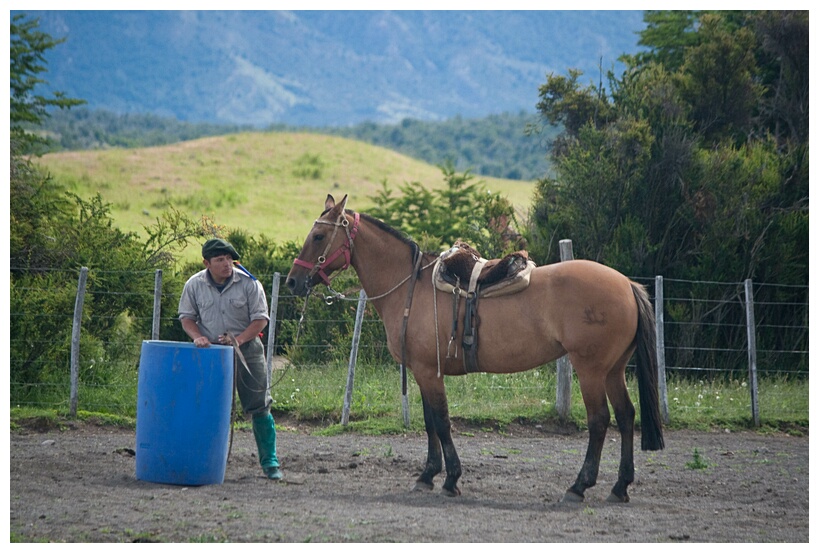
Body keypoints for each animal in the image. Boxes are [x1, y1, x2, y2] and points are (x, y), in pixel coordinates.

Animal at [288, 193, 668, 500]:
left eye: (318, 236)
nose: (293, 281)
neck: (410, 285)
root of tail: (627, 284)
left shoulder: (428, 372)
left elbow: (441, 421)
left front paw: (451, 479)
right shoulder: (424, 371)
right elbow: (429, 421)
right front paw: (428, 475)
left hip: (590, 370)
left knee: (600, 420)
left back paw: (579, 486)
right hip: (613, 370)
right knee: (626, 415)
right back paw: (620, 486)